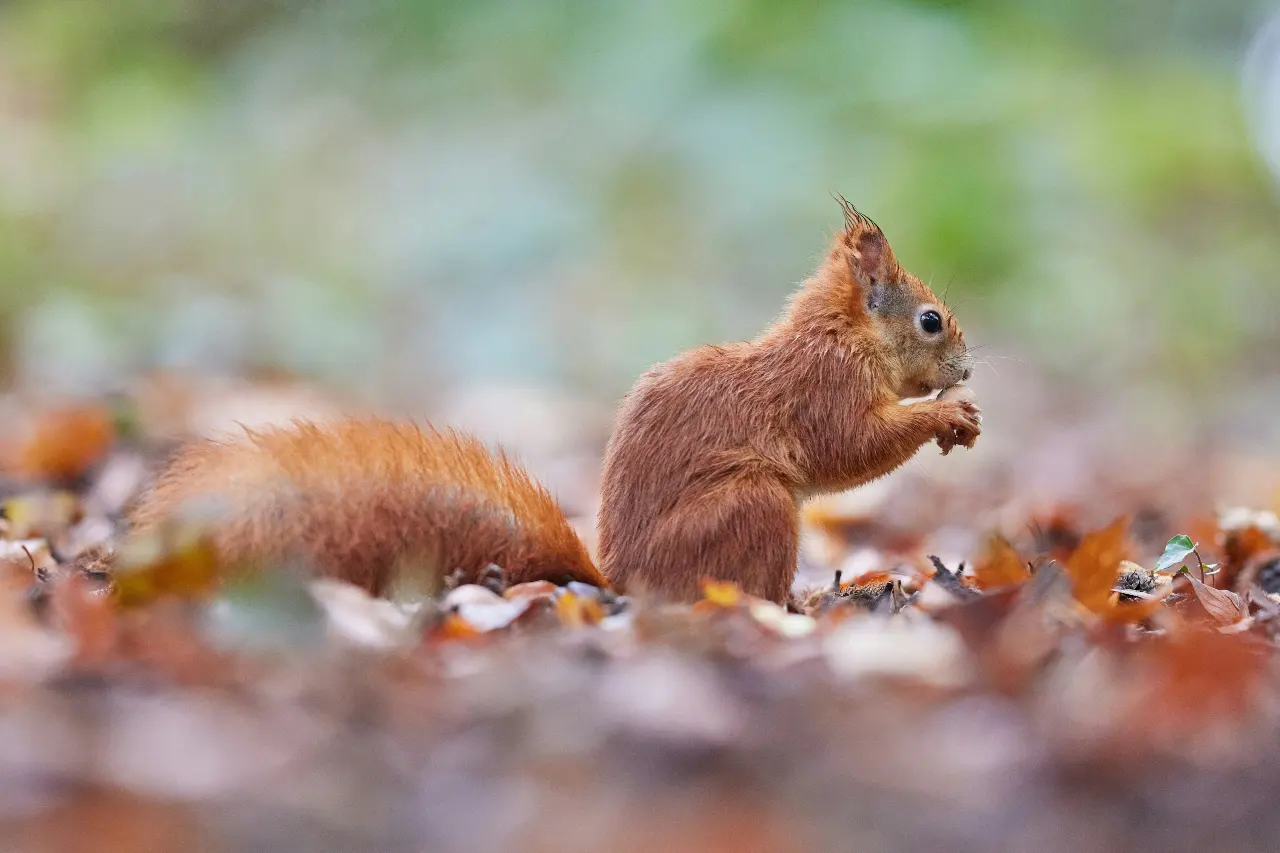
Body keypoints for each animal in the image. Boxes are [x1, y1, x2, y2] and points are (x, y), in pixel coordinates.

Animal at [124, 198, 977, 596]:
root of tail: (615, 582)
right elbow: (846, 448)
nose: (967, 371)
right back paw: (790, 608)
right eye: (931, 321)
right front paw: (943, 414)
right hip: (755, 505)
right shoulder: (821, 388)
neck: (843, 335)